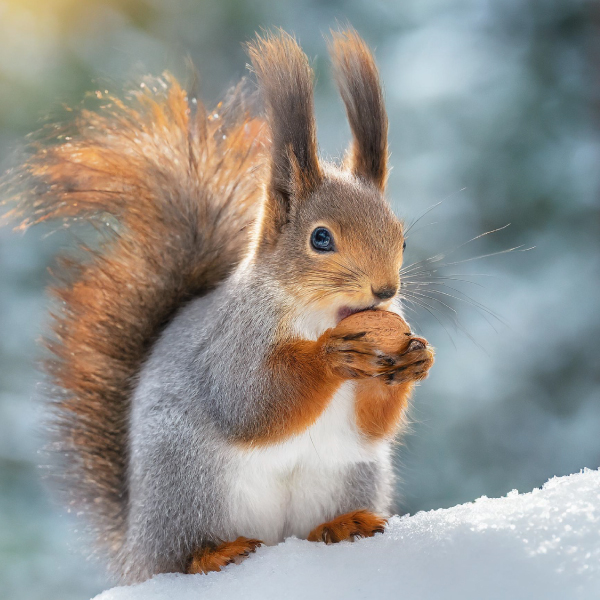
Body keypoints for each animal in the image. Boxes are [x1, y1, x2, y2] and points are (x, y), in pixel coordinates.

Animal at [0, 29, 432, 580]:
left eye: (402, 240)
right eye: (320, 238)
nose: (385, 292)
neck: (318, 316)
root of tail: (136, 547)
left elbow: (372, 424)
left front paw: (417, 357)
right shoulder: (232, 344)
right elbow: (251, 403)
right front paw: (330, 356)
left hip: (348, 475)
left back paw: (342, 524)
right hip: (187, 485)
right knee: (183, 554)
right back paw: (213, 553)